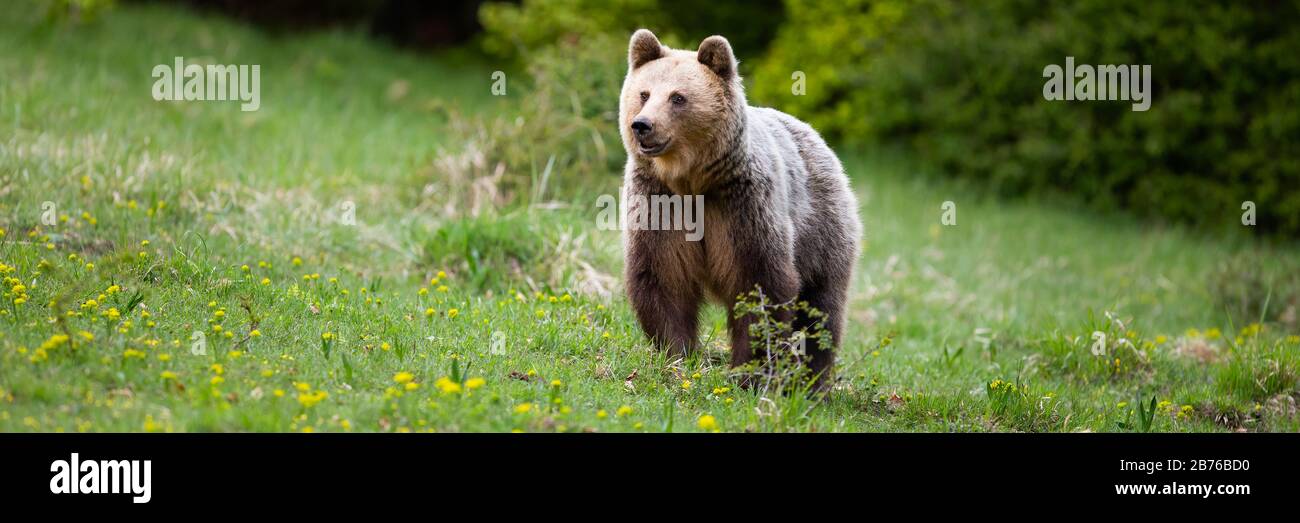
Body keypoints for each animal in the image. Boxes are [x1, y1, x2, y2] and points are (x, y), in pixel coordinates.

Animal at [619, 29, 862, 390]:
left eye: (678, 97)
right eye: (644, 93)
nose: (642, 125)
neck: (692, 181)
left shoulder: (743, 206)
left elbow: (759, 282)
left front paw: (749, 373)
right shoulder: (660, 203)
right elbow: (663, 277)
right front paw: (676, 354)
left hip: (822, 228)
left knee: (821, 307)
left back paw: (812, 382)